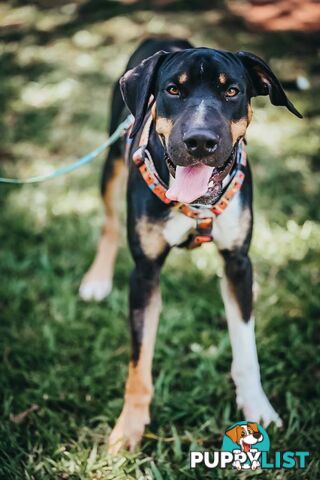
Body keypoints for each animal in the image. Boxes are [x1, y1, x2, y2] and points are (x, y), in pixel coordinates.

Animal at [79, 38, 302, 454]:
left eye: (232, 91)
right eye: (172, 90)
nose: (200, 141)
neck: (197, 203)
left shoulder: (238, 263)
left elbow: (246, 348)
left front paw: (258, 409)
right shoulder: (144, 274)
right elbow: (139, 363)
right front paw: (128, 429)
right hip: (112, 159)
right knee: (109, 223)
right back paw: (97, 278)